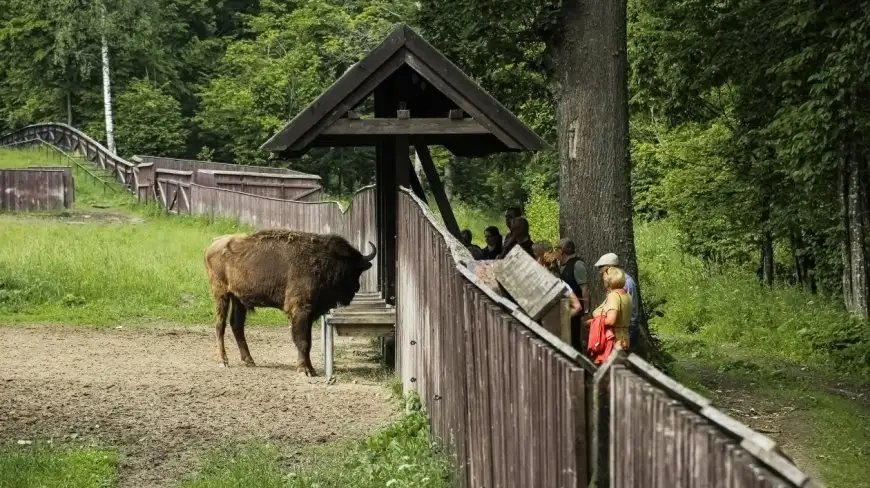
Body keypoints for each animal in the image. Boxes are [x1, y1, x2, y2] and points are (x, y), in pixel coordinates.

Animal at [208, 229, 382, 378]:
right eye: (352, 269)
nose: (356, 287)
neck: (323, 259)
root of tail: (212, 246)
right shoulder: (300, 311)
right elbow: (302, 341)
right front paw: (304, 370)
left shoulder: (310, 315)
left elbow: (308, 342)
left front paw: (311, 369)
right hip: (221, 294)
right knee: (220, 325)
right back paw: (223, 361)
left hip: (238, 298)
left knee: (236, 325)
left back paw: (249, 360)